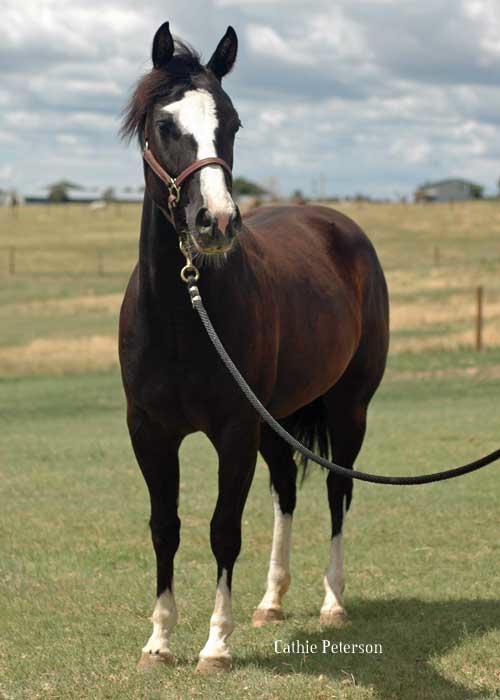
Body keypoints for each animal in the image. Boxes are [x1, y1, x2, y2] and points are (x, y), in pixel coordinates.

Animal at [119, 21, 389, 674]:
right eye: (164, 124)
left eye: (234, 124)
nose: (215, 221)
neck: (183, 316)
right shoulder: (149, 432)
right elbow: (165, 526)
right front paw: (159, 642)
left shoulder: (234, 431)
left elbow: (223, 529)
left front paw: (215, 644)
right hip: (279, 417)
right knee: (286, 493)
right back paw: (271, 602)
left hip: (348, 408)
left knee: (338, 491)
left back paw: (332, 603)